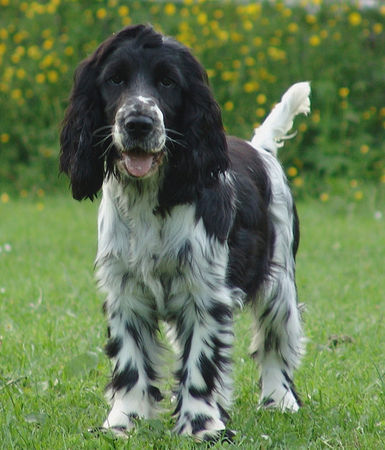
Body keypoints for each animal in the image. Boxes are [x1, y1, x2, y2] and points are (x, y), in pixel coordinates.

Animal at [59, 23, 308, 440]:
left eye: (168, 82)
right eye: (114, 79)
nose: (138, 123)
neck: (150, 199)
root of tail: (260, 150)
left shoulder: (205, 296)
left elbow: (201, 365)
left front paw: (202, 426)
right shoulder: (124, 291)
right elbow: (131, 361)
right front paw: (123, 421)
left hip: (279, 281)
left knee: (276, 340)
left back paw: (281, 400)